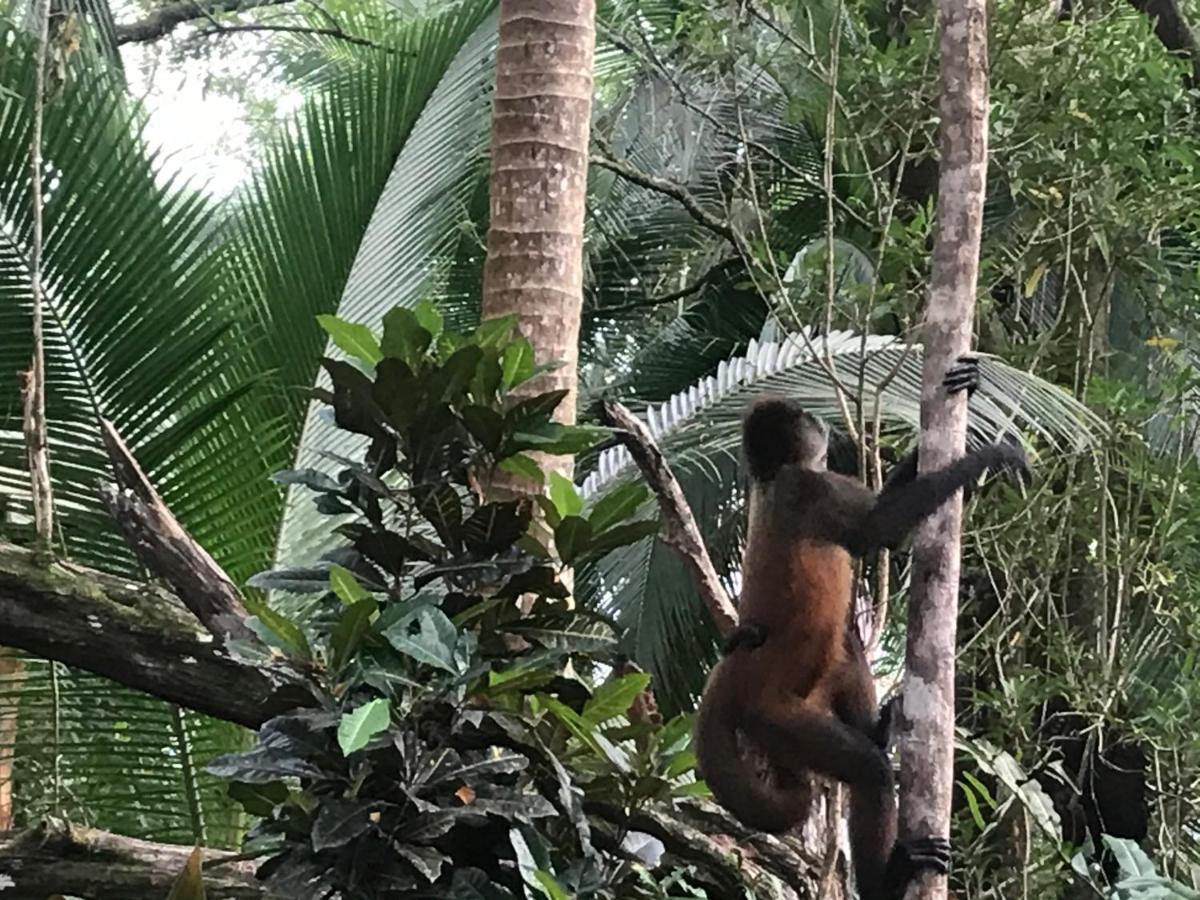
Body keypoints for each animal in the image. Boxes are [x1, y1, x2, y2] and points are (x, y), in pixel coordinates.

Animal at [696, 357, 1032, 900]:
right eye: (803, 420)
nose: (818, 420)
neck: (772, 478)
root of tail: (733, 674)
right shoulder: (813, 487)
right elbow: (880, 532)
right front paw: (991, 454)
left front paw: (968, 386)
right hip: (777, 718)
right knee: (866, 770)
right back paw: (885, 880)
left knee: (848, 646)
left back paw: (878, 730)